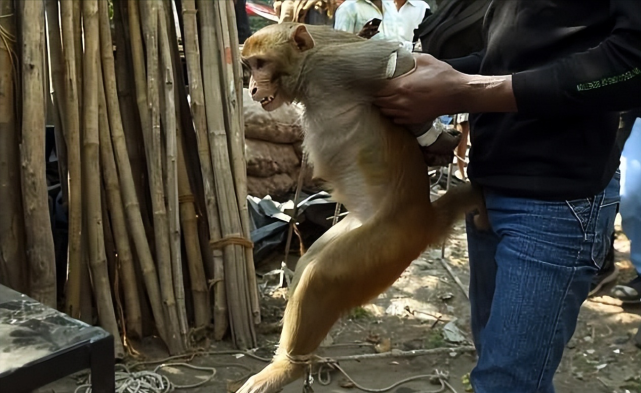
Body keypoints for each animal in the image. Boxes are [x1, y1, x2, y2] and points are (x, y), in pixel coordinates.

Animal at [238, 22, 482, 392]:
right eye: (250, 65)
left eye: (261, 64)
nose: (252, 86)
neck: (307, 75)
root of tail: (425, 216)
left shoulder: (339, 66)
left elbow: (403, 64)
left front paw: (434, 140)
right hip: (366, 232)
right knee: (309, 262)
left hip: (388, 243)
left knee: (321, 277)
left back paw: (289, 367)